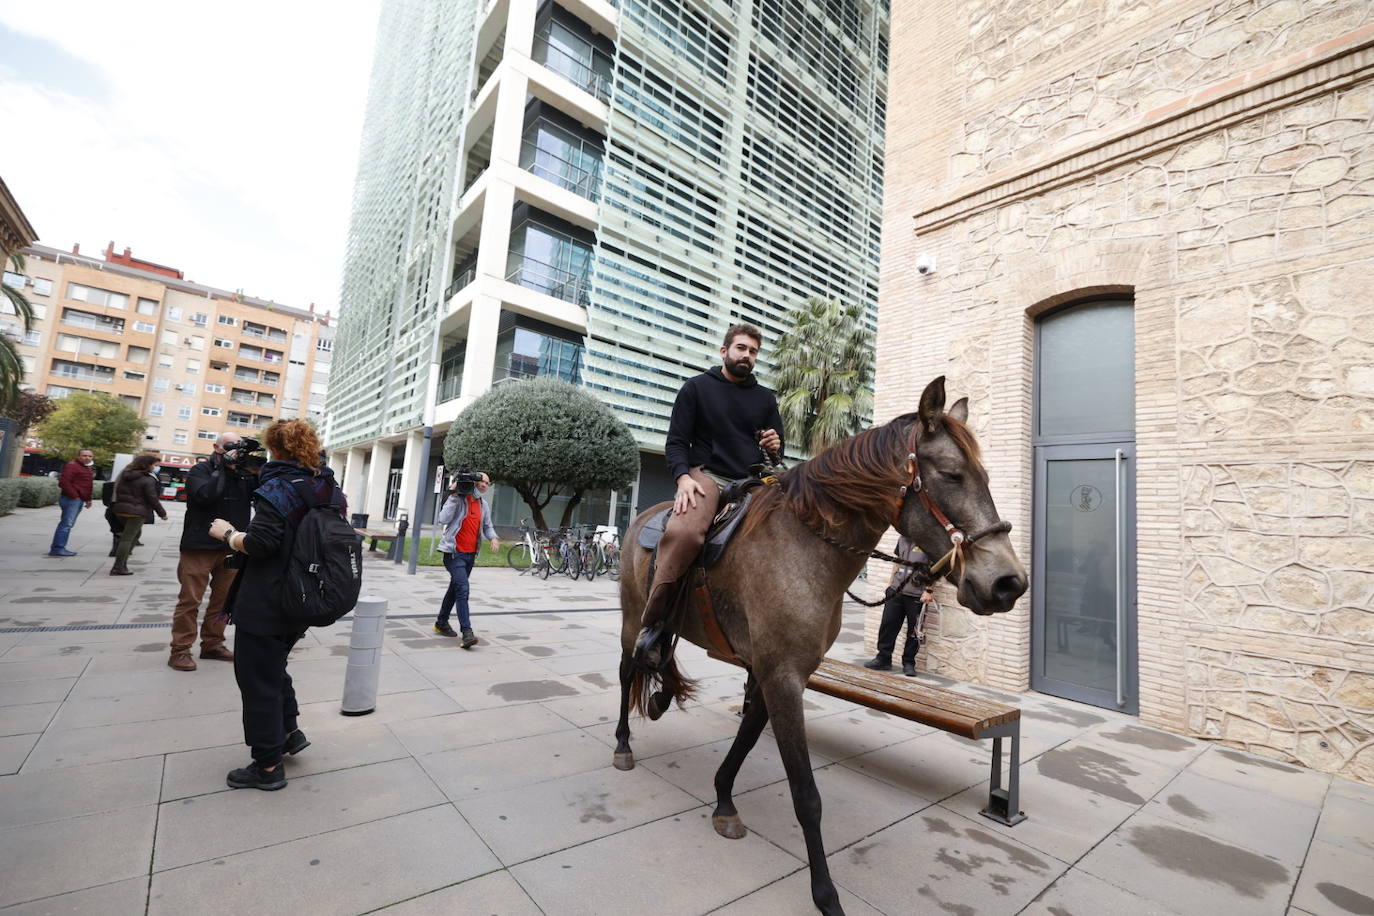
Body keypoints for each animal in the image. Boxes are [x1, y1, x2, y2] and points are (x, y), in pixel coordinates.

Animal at [615, 376, 1033, 911]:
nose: (1008, 583)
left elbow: (746, 740)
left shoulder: (777, 673)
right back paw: (623, 743)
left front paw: (724, 800)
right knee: (629, 669)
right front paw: (825, 894)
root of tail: (646, 514)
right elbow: (807, 796)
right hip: (632, 617)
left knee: (660, 655)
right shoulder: (782, 677)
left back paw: (662, 696)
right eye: (952, 475)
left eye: (984, 475)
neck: (805, 546)